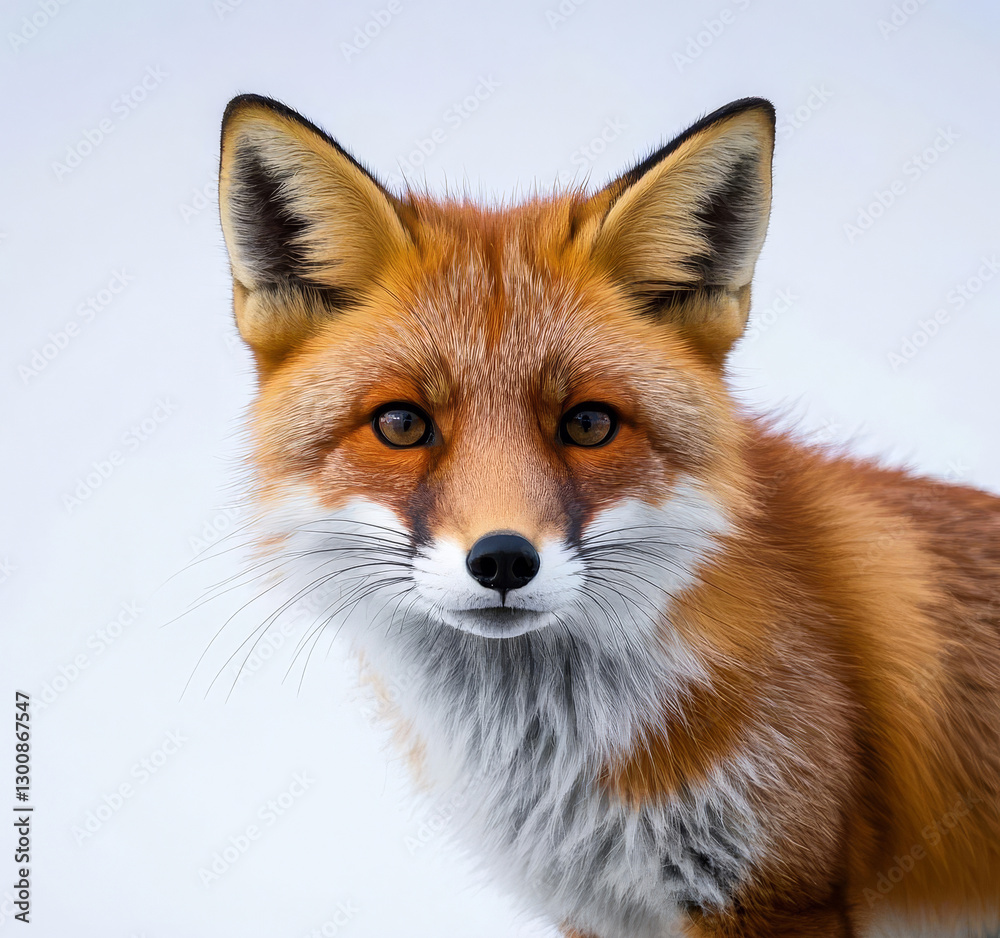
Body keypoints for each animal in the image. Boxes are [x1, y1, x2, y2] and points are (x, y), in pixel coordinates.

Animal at [216, 94, 1000, 937]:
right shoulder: (598, 911)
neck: (559, 767)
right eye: (401, 424)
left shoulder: (779, 892)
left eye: (589, 424)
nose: (502, 559)